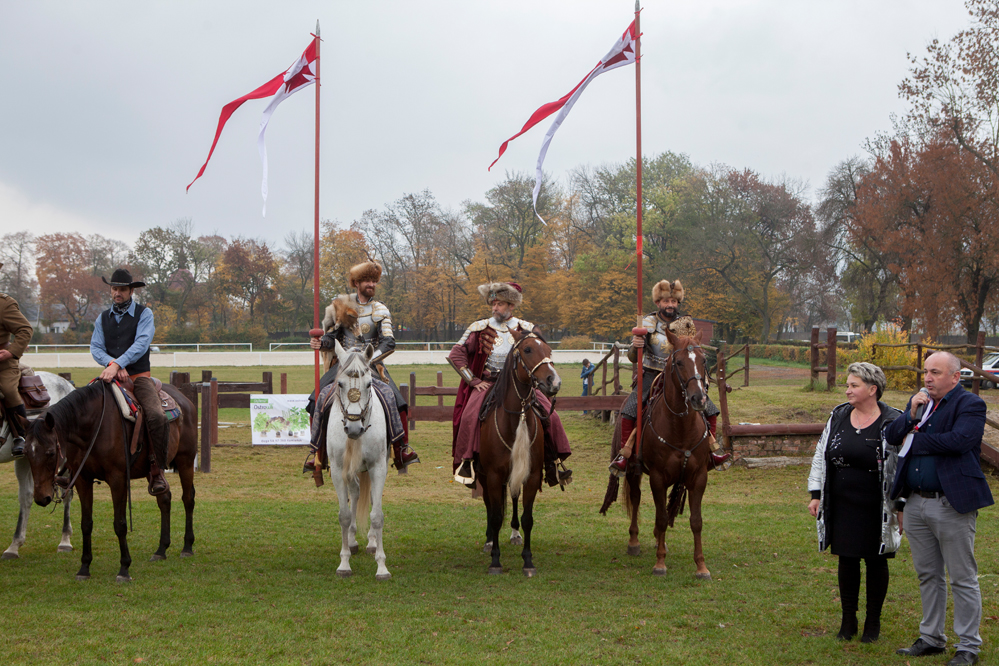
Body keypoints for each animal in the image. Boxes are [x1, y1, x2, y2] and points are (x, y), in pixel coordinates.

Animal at [0, 370, 75, 556]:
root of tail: (67, 383)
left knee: (67, 493)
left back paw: (65, 540)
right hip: (25, 459)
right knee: (26, 496)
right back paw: (14, 545)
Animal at [24, 378, 197, 580]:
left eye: (51, 452)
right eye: (26, 452)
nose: (41, 498)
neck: (93, 427)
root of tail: (184, 399)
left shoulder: (117, 479)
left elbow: (120, 524)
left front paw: (124, 568)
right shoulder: (83, 479)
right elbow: (86, 523)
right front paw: (84, 568)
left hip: (186, 460)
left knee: (188, 499)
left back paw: (187, 547)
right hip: (153, 471)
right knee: (164, 499)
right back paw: (161, 550)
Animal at [328, 340, 390, 580]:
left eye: (369, 383)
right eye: (341, 384)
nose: (354, 428)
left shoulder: (378, 467)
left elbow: (377, 515)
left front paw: (381, 566)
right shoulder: (338, 470)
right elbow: (344, 515)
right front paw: (344, 563)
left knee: (370, 496)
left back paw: (371, 543)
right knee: (354, 494)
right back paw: (352, 540)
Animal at [478, 328, 564, 576]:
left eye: (549, 350)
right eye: (527, 349)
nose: (554, 381)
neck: (516, 418)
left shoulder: (532, 474)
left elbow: (527, 518)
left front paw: (528, 560)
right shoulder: (493, 475)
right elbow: (496, 515)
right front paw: (495, 560)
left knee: (514, 498)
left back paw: (515, 534)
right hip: (483, 474)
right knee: (489, 505)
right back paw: (489, 541)